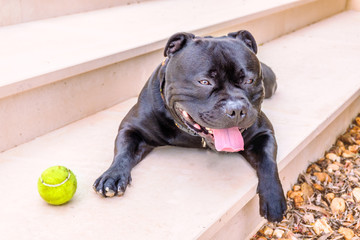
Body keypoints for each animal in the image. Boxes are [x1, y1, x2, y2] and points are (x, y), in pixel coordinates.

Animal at [93, 31, 286, 222]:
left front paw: (274, 198)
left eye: (249, 80)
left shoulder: (263, 133)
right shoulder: (131, 128)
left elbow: (268, 162)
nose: (236, 109)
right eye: (204, 82)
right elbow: (123, 151)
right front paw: (113, 176)